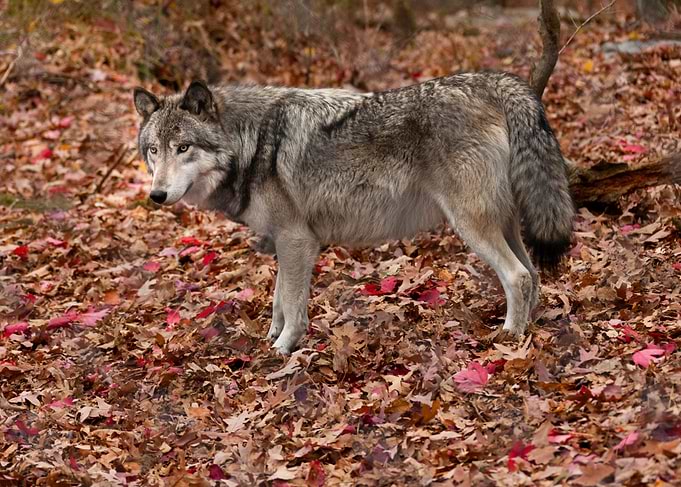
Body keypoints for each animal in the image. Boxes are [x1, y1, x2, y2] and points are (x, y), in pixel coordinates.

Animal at [133, 72, 574, 354]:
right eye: (154, 150)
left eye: (184, 147)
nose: (157, 194)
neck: (252, 144)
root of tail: (493, 81)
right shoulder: (285, 242)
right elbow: (278, 299)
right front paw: (272, 338)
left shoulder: (298, 240)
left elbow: (292, 303)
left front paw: (283, 349)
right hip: (502, 224)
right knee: (533, 275)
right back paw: (529, 328)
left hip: (471, 226)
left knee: (517, 276)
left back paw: (510, 337)